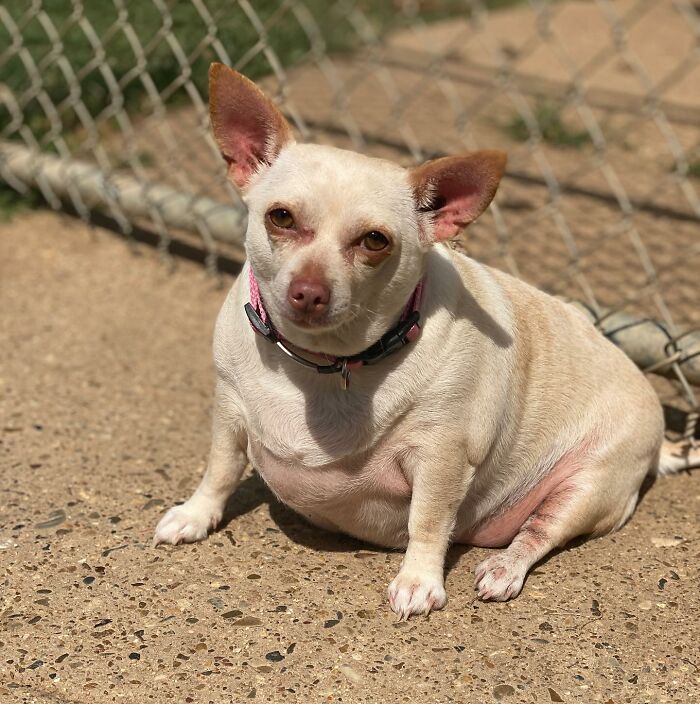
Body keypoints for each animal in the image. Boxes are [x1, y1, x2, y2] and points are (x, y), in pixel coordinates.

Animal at [154, 63, 700, 620]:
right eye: (280, 217)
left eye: (375, 241)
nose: (308, 291)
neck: (324, 363)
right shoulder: (229, 412)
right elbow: (220, 469)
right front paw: (195, 514)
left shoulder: (442, 456)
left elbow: (429, 520)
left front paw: (418, 581)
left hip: (588, 486)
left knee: (539, 533)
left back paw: (504, 568)